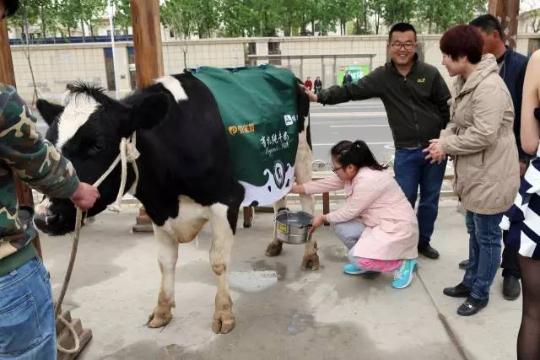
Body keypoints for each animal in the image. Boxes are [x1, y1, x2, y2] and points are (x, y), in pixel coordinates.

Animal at [35, 71, 314, 334]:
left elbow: (218, 262)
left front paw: (223, 313)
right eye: (48, 143)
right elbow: (165, 262)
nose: (44, 218)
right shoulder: (158, 210)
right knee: (279, 198)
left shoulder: (226, 201)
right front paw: (162, 310)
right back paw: (276, 243)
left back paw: (311, 256)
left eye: (96, 145)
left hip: (301, 155)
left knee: (308, 202)